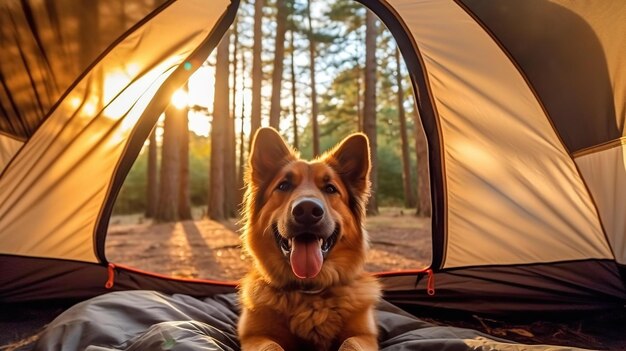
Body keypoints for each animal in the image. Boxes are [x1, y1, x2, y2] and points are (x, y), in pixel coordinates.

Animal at [236, 127, 378, 351]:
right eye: (284, 186)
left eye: (330, 189)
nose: (307, 210)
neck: (309, 292)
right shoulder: (255, 336)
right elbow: (271, 347)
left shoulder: (364, 335)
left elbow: (350, 343)